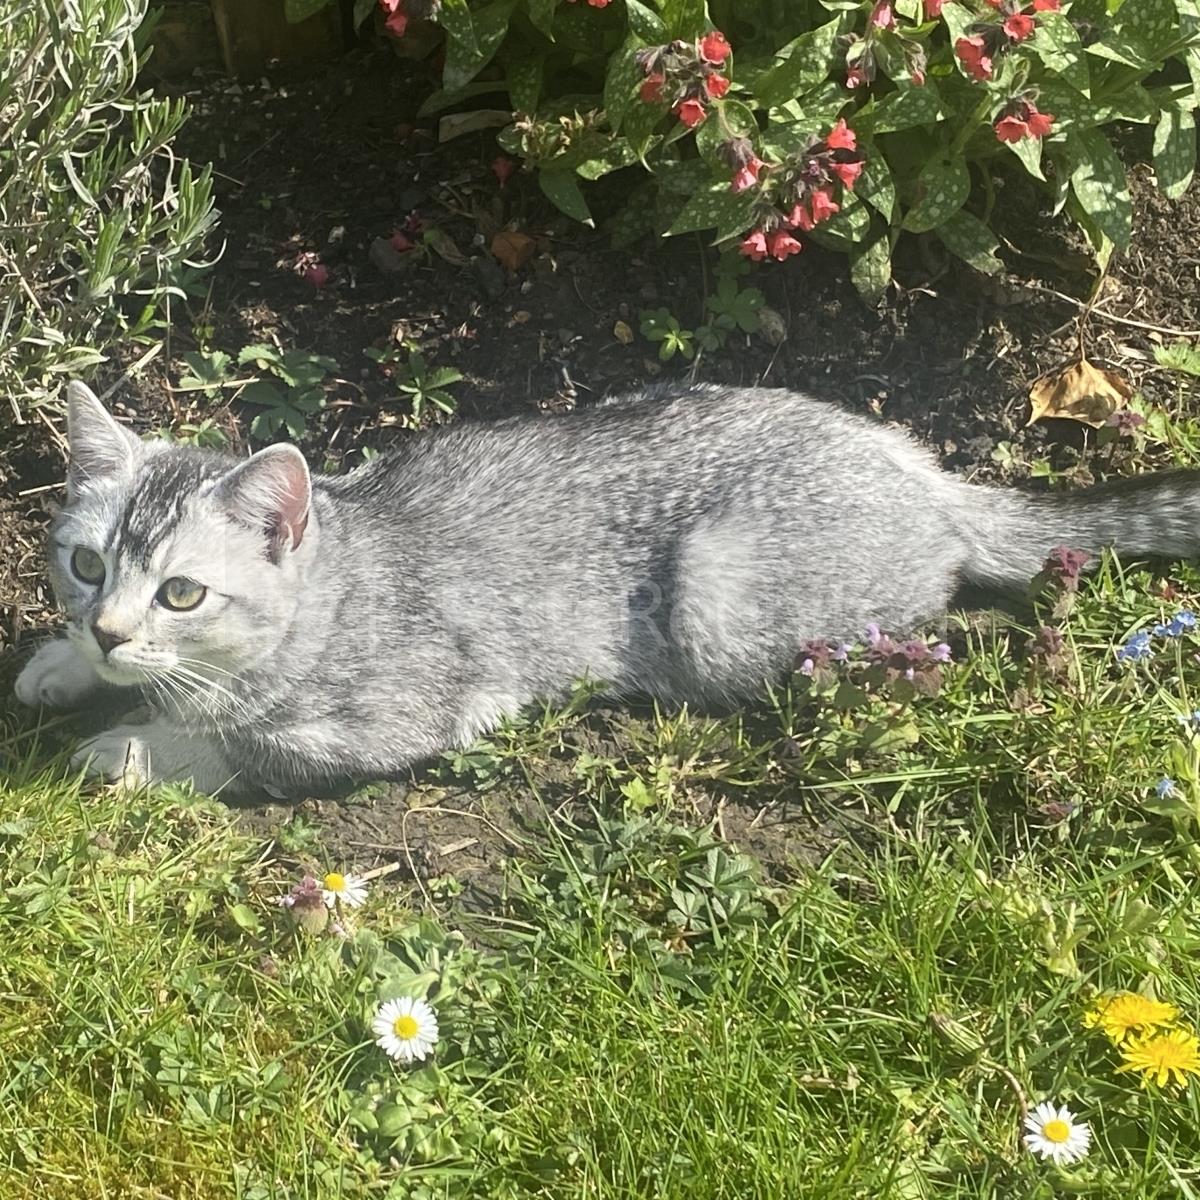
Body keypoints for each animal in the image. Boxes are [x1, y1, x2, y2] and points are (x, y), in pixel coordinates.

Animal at [13, 380, 1200, 796]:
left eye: (181, 595)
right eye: (86, 564)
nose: (109, 630)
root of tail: (922, 467)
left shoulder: (403, 714)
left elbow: (245, 744)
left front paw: (135, 746)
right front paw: (65, 662)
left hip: (721, 599)